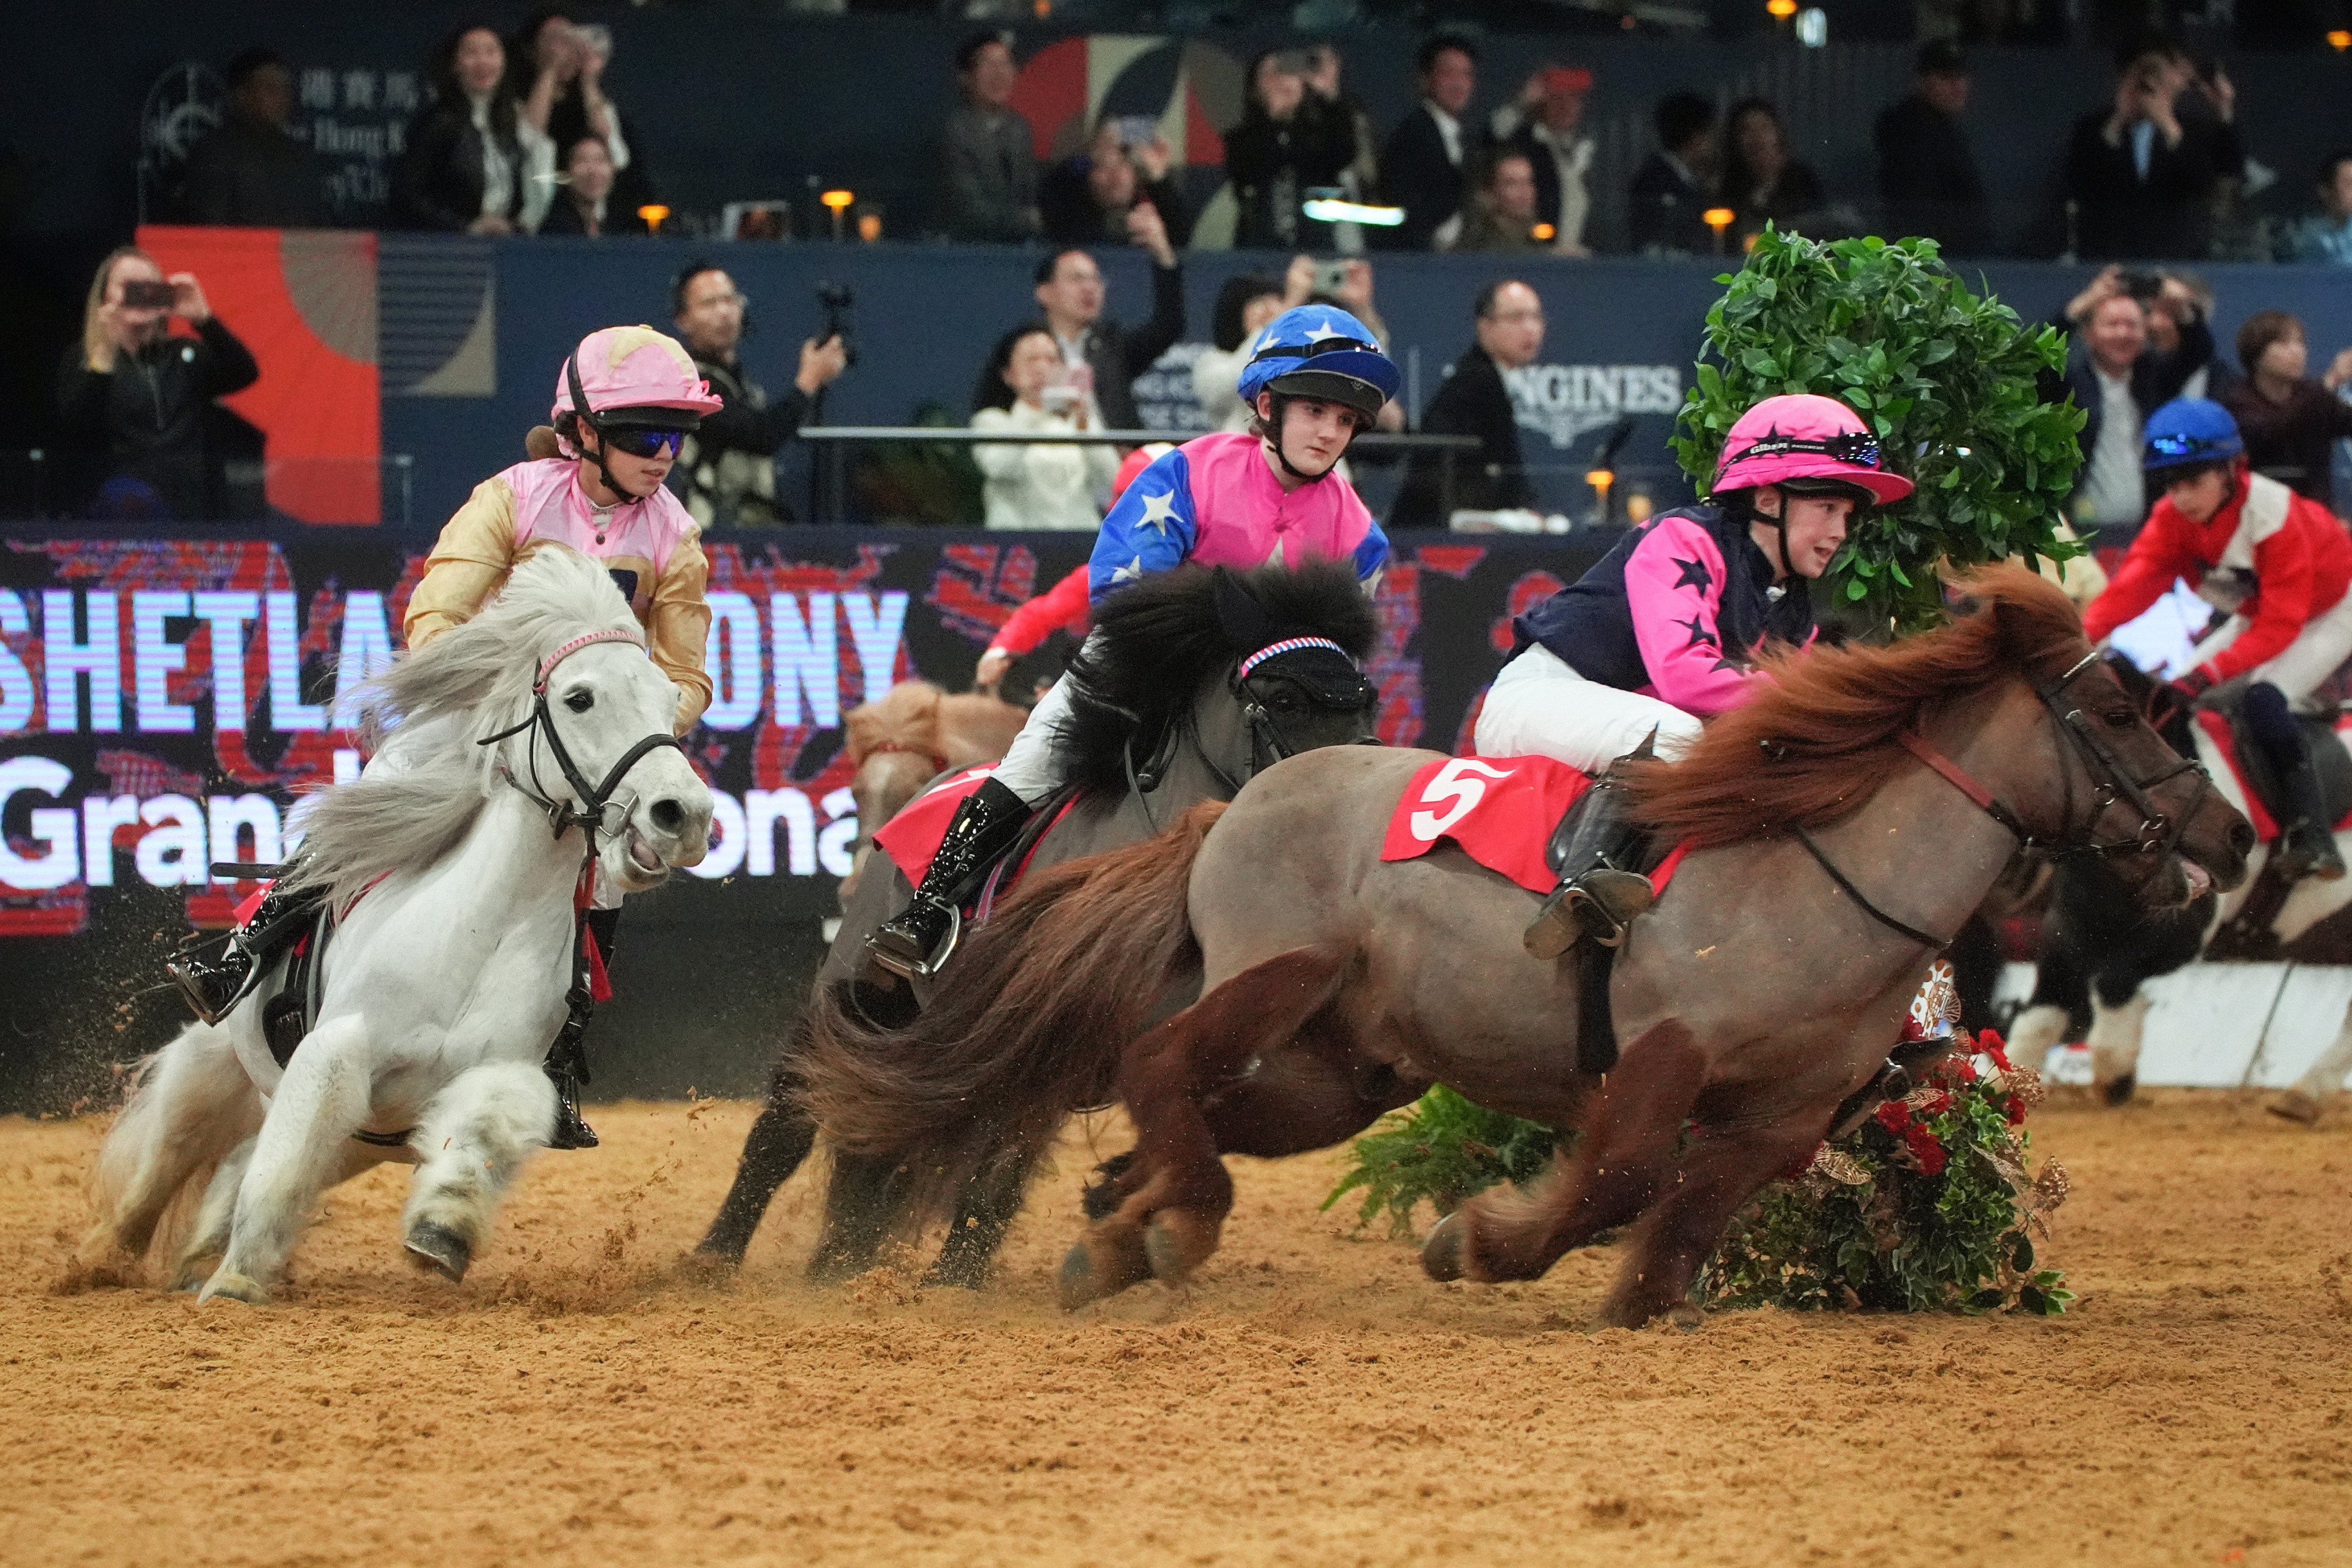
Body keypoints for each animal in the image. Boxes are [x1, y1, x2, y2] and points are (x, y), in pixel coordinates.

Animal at [77, 545, 715, 1304]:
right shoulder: (337, 1048)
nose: (682, 815)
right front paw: (236, 1285)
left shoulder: (508, 1073)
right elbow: (283, 1160)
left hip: (354, 1146)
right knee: (167, 1164)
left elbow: (492, 1123)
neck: (480, 936)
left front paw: (442, 1231)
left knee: (238, 1164)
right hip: (211, 1070)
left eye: (669, 700)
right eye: (579, 698)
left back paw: (200, 1255)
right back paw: (102, 1260)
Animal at [2007, 657, 2352, 1122]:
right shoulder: (2070, 928)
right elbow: (2040, 1016)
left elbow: (2113, 982)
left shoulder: (2180, 937)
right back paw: (2305, 1096)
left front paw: (2116, 1071)